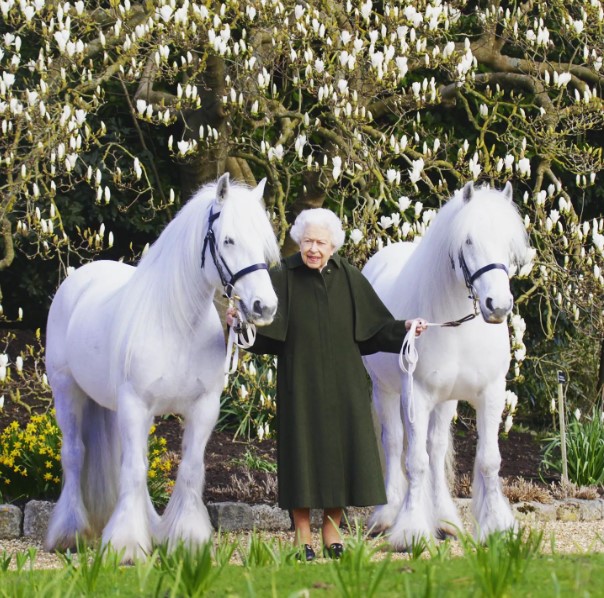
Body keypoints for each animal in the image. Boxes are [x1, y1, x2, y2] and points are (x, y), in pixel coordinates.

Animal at [45, 173, 280, 564]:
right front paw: (126, 546)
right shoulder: (135, 405)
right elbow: (133, 471)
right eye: (229, 239)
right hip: (67, 392)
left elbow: (189, 469)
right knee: (75, 454)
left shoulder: (203, 408)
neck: (177, 324)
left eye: (263, 243)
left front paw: (187, 540)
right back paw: (69, 533)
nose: (265, 307)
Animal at [364, 183, 528, 552]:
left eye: (508, 241)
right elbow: (414, 461)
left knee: (436, 449)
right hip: (386, 390)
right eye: (468, 240)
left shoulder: (491, 393)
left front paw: (497, 528)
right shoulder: (417, 395)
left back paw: (444, 520)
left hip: (446, 401)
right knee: (394, 443)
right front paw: (410, 531)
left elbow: (487, 460)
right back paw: (387, 516)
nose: (498, 305)